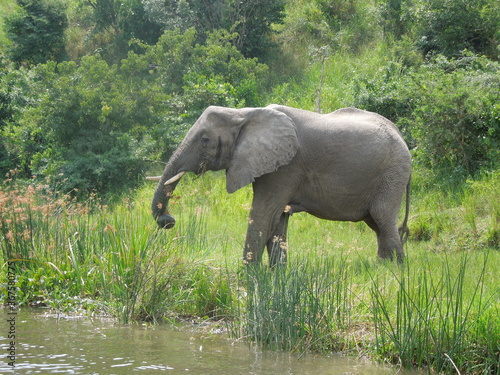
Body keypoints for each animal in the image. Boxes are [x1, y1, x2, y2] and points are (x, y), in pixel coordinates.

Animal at [150, 104, 412, 266]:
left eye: (205, 140)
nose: (169, 220)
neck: (243, 114)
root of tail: (402, 137)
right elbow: (277, 221)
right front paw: (277, 275)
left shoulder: (284, 168)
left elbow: (264, 215)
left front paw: (248, 275)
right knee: (376, 223)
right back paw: (381, 266)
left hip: (392, 173)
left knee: (383, 218)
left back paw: (396, 269)